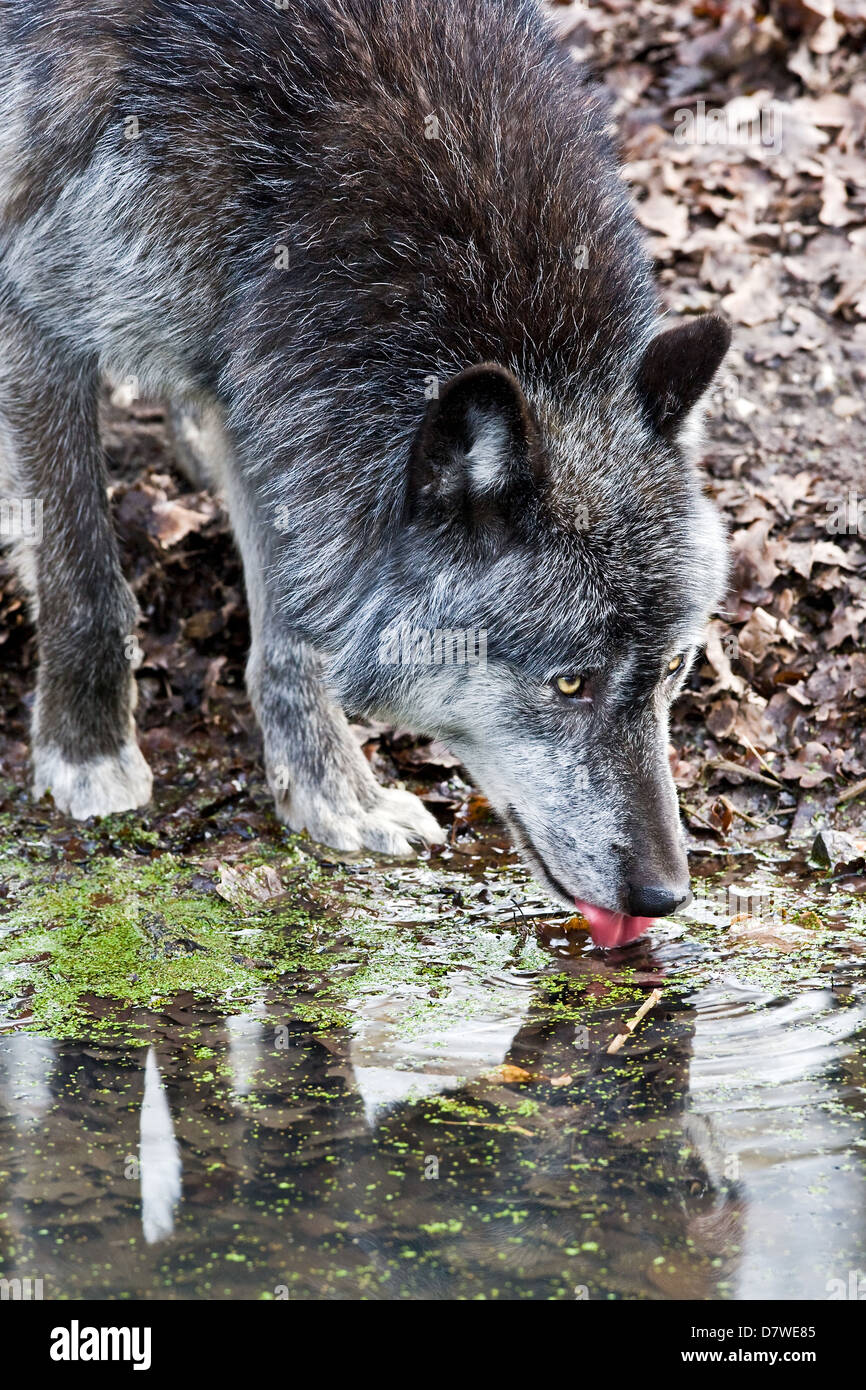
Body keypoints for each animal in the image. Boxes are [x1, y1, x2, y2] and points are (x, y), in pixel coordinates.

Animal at [0, 0, 733, 945]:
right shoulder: (34, 304)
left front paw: (331, 792)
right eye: (570, 682)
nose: (664, 895)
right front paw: (86, 752)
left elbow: (298, 628)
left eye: (675, 668)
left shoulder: (270, 386)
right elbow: (80, 574)